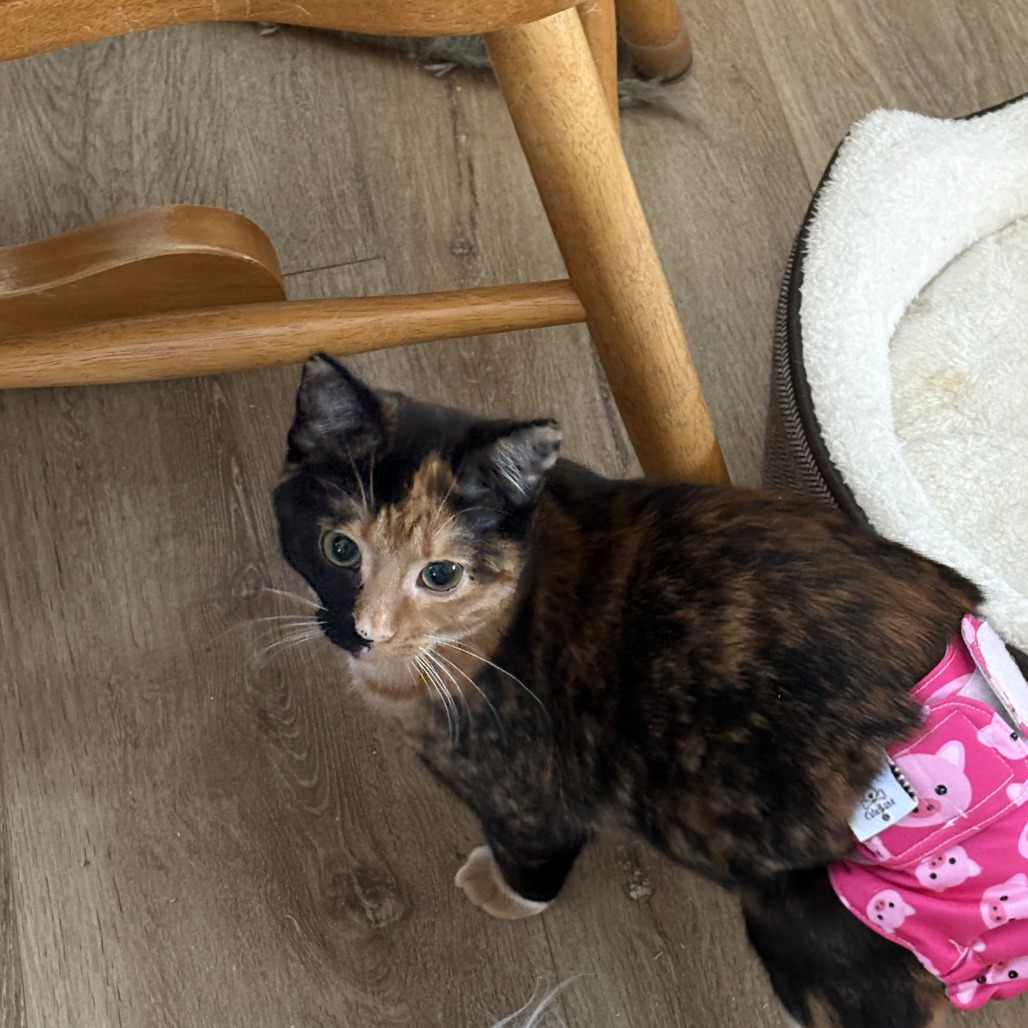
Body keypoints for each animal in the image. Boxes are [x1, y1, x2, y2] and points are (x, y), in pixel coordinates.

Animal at [274, 353, 1007, 1028]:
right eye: (339, 549)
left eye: (441, 573)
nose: (365, 631)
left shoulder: (528, 797)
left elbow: (533, 859)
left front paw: (501, 891)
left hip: (811, 924)